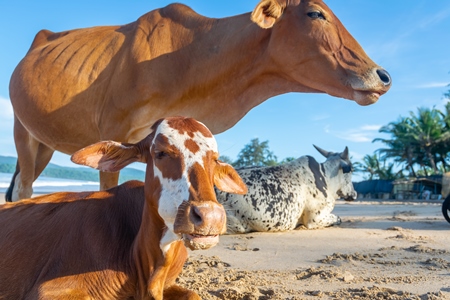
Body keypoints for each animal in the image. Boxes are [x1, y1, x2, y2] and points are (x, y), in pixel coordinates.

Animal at [7, 0, 390, 202]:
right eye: (315, 13)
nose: (382, 76)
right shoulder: (114, 131)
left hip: (44, 144)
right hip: (22, 133)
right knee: (23, 189)